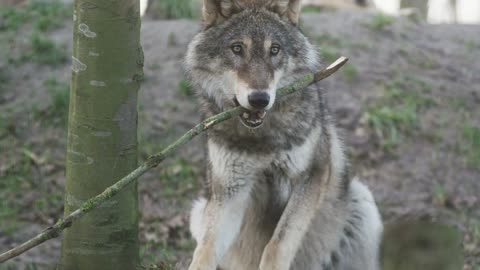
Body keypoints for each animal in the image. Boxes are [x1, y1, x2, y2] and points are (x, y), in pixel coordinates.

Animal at [184, 1, 382, 268]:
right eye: (237, 48)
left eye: (274, 50)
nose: (259, 99)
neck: (261, 139)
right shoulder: (230, 190)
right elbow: (205, 250)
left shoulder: (311, 176)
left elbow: (277, 245)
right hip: (199, 212)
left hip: (363, 202)